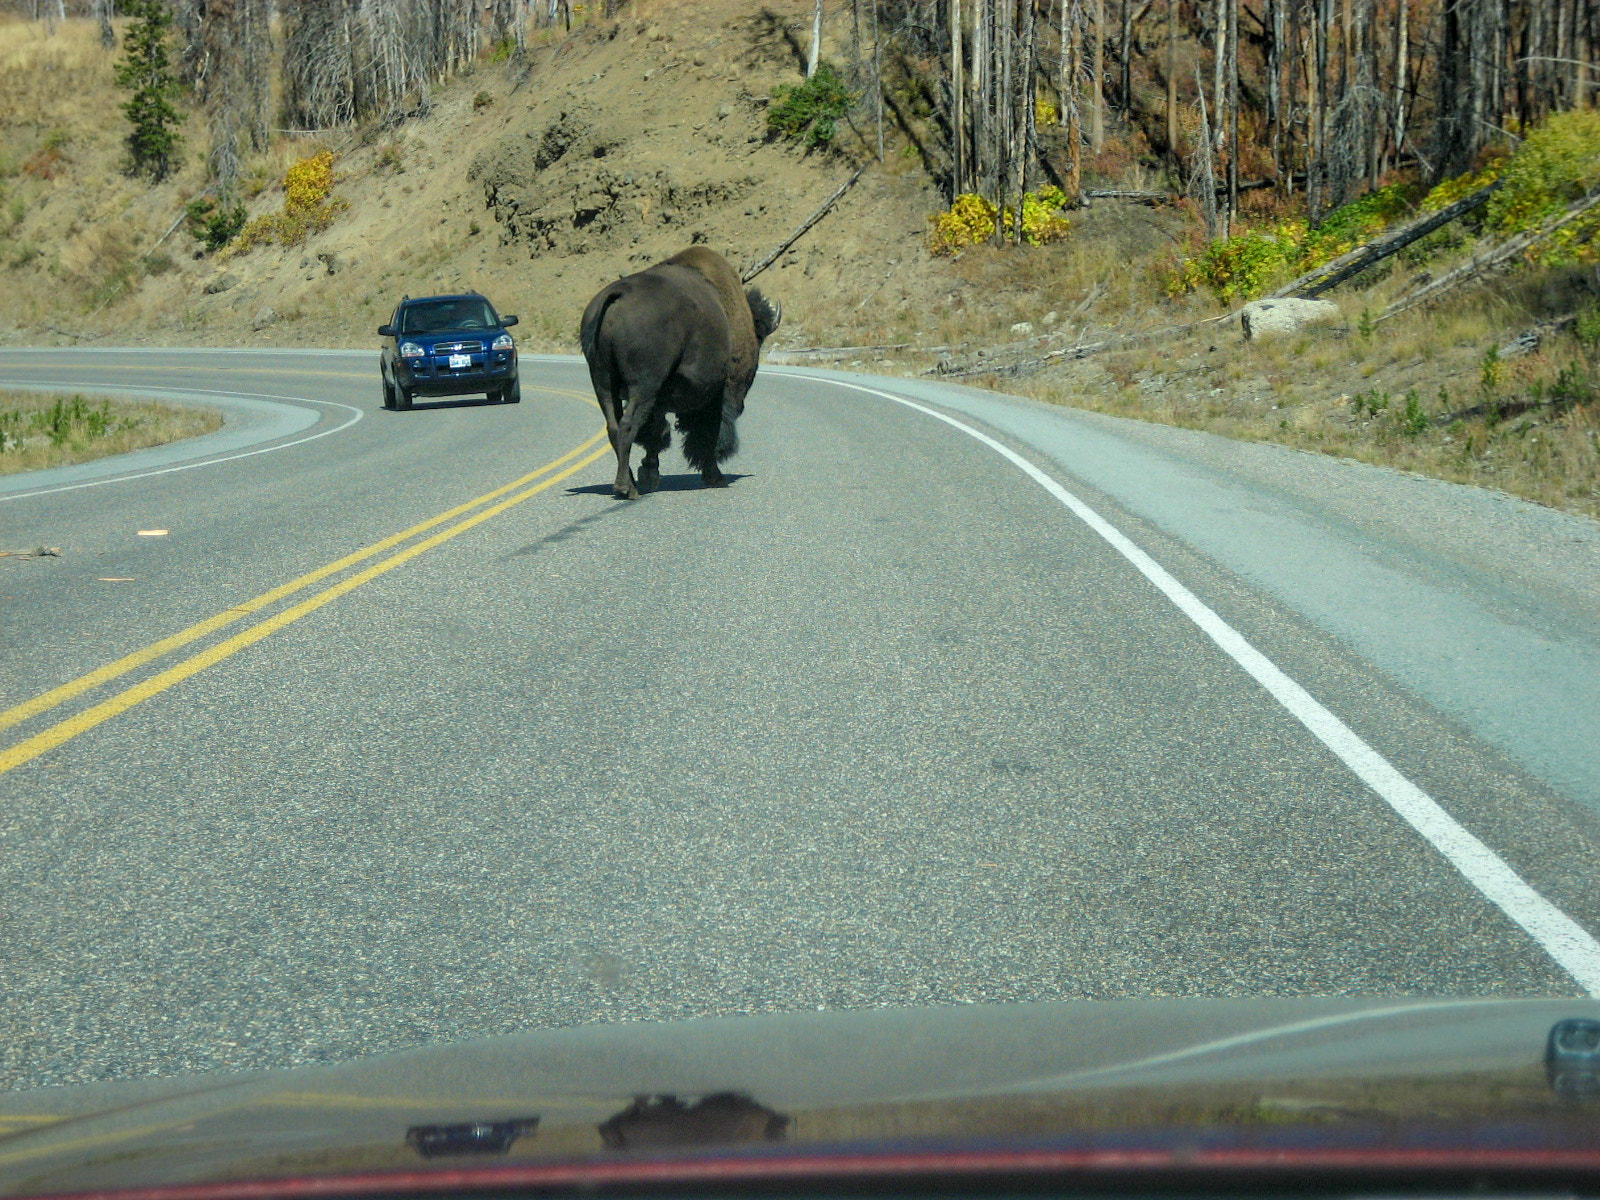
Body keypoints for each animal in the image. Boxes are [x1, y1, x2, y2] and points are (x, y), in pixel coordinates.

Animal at [582, 248, 780, 499]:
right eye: (759, 337)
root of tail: (616, 296)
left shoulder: (662, 401)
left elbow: (657, 434)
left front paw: (650, 473)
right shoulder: (718, 395)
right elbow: (707, 435)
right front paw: (715, 476)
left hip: (603, 383)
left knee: (614, 427)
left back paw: (630, 482)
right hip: (642, 387)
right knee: (627, 425)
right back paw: (627, 488)